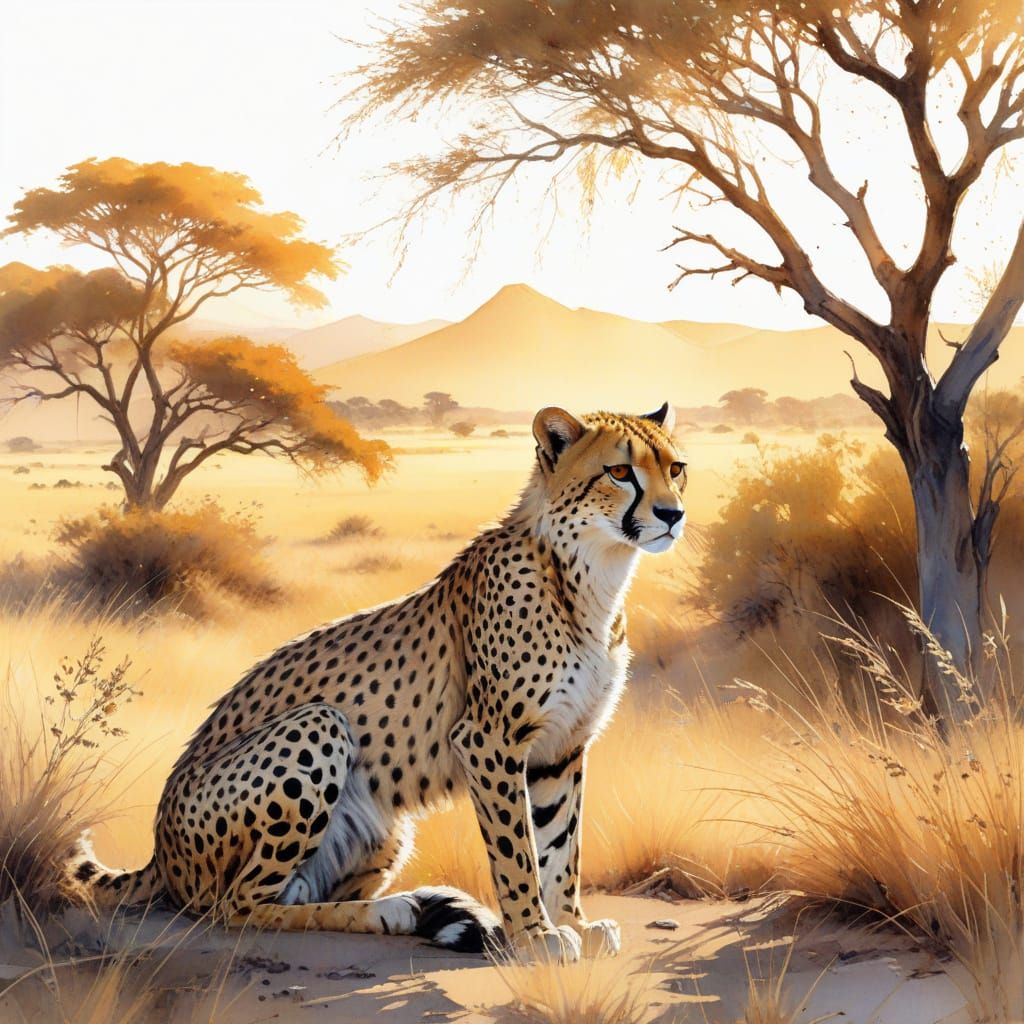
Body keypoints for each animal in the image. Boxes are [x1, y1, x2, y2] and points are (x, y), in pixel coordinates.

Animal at [67, 402, 687, 962]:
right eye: (619, 471)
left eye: (675, 467)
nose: (672, 514)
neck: (590, 573)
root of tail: (158, 851)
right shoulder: (489, 742)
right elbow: (517, 853)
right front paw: (535, 936)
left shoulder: (560, 749)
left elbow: (560, 846)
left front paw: (573, 924)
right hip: (318, 725)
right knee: (236, 904)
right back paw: (393, 911)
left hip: (383, 827)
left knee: (294, 892)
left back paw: (400, 909)